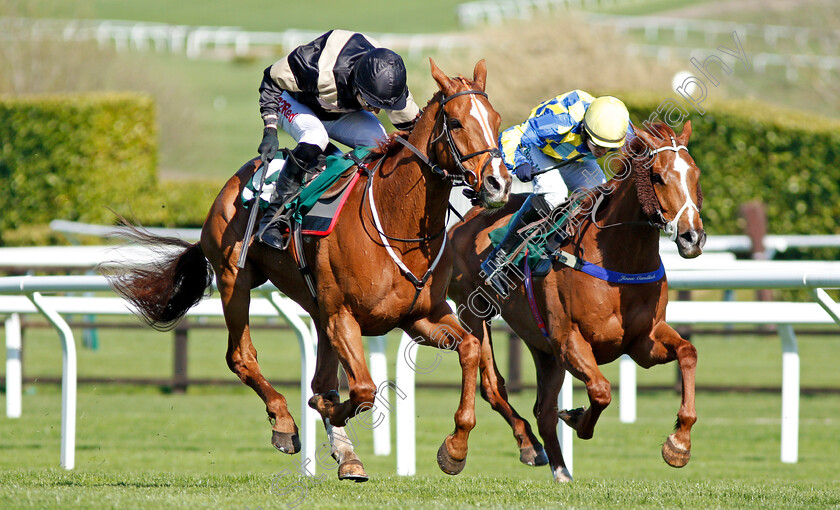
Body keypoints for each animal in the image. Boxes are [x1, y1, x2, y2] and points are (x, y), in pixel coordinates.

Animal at [108, 61, 508, 480]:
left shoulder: (421, 315)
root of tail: (233, 183)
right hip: (236, 280)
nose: (498, 182)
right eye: (456, 122)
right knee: (241, 356)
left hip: (317, 309)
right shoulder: (343, 316)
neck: (397, 225)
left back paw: (347, 455)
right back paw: (284, 423)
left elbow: (470, 348)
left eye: (496, 120)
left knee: (321, 375)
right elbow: (362, 390)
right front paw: (321, 408)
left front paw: (456, 448)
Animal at [450, 121, 704, 480]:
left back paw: (560, 470)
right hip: (473, 311)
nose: (693, 237)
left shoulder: (644, 341)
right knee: (492, 384)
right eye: (657, 177)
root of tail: (468, 217)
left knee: (542, 409)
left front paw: (679, 444)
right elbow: (601, 391)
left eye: (695, 174)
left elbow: (688, 352)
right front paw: (575, 418)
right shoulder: (569, 340)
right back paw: (497, 448)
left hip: (542, 346)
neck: (619, 258)